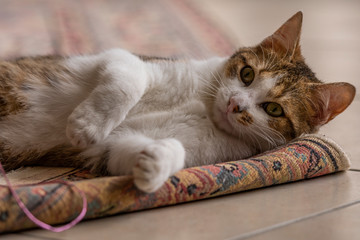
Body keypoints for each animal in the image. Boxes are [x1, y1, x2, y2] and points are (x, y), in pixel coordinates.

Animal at [0, 11, 354, 192]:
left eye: (274, 109)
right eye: (247, 74)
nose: (235, 104)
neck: (204, 109)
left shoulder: (116, 147)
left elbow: (126, 150)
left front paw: (155, 164)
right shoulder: (115, 58)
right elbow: (129, 75)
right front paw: (87, 125)